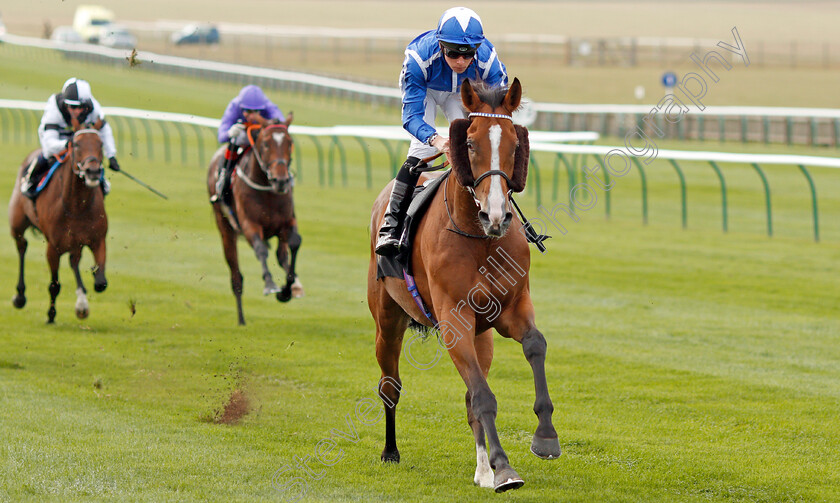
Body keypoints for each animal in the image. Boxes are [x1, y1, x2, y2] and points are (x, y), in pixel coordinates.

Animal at [9, 130, 110, 324]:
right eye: (76, 144)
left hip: (74, 242)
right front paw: (51, 315)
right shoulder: (53, 247)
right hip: (17, 223)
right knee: (22, 246)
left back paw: (81, 300)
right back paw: (20, 296)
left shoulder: (97, 240)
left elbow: (101, 282)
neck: (77, 207)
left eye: (101, 143)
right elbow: (54, 285)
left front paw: (83, 301)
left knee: (73, 261)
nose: (93, 171)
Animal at [206, 115, 304, 326]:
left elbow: (295, 243)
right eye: (265, 144)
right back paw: (241, 319)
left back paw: (295, 285)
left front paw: (287, 289)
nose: (281, 180)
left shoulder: (287, 222)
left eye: (289, 142)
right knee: (236, 276)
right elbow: (260, 249)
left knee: (281, 255)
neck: (268, 192)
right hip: (225, 226)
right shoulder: (249, 225)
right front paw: (270, 284)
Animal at [370, 79, 560, 492]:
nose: (496, 215)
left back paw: (482, 469)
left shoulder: (511, 308)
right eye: (469, 143)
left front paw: (544, 437)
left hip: (481, 335)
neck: (479, 238)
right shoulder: (454, 319)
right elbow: (483, 396)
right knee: (390, 386)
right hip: (387, 321)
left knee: (471, 394)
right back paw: (390, 451)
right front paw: (505, 469)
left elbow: (535, 345)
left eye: (515, 145)